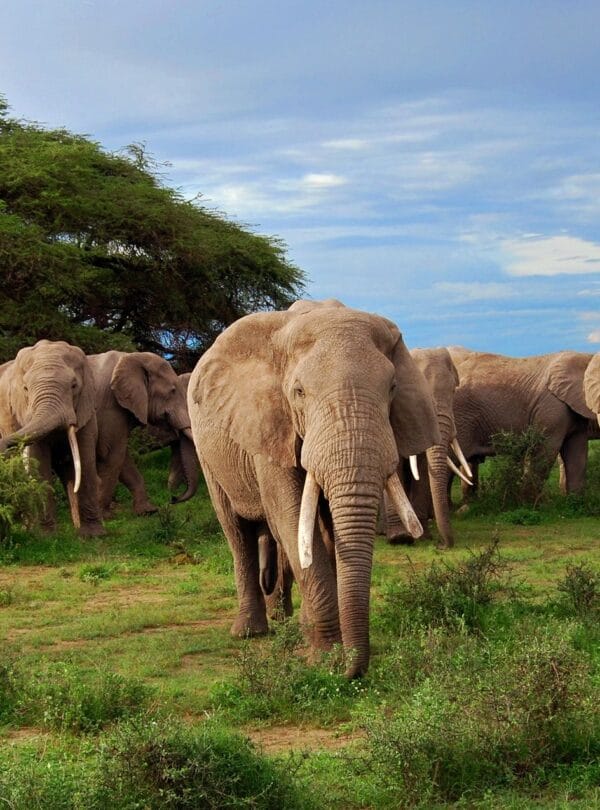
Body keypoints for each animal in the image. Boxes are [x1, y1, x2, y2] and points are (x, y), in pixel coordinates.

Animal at [0, 340, 105, 536]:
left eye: (74, 386)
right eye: (25, 389)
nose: (2, 446)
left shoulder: (86, 407)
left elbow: (85, 458)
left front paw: (94, 535)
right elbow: (38, 460)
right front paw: (46, 536)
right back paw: (29, 530)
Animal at [88, 351, 197, 516]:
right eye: (172, 391)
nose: (172, 500)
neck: (133, 357)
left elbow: (122, 460)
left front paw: (149, 510)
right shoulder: (110, 408)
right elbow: (112, 456)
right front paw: (104, 516)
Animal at [188, 299, 439, 677]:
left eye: (393, 388)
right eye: (299, 392)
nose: (352, 672)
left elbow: (327, 530)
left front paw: (325, 649)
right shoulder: (271, 424)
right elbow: (291, 517)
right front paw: (324, 658)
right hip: (206, 450)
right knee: (236, 530)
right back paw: (249, 632)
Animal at [448, 347, 600, 497]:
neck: (585, 357)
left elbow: (577, 455)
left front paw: (574, 500)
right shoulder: (551, 408)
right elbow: (545, 451)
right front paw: (528, 501)